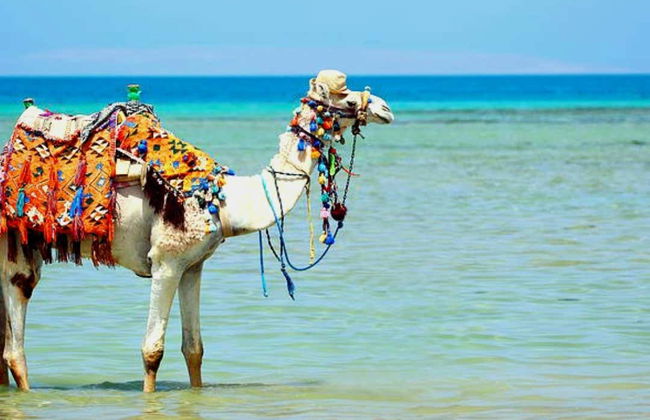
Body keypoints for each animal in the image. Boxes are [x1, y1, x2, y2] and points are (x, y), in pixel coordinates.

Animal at [0, 70, 394, 392]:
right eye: (346, 97)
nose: (386, 109)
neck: (224, 200)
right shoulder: (166, 261)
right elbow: (152, 351)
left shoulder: (192, 266)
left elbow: (194, 349)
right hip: (14, 245)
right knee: (16, 335)